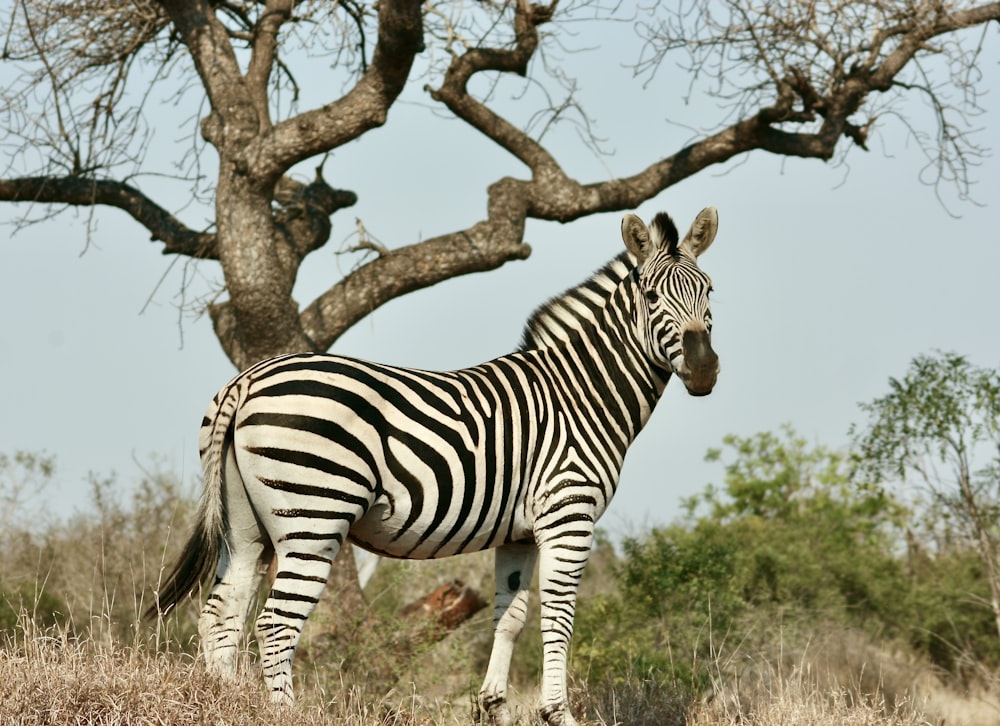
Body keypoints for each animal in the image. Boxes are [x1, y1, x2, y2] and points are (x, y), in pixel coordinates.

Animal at [150, 206, 720, 726]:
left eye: (710, 292)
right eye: (652, 298)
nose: (703, 370)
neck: (580, 393)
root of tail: (247, 379)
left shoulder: (520, 532)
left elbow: (509, 616)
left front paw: (495, 708)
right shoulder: (569, 515)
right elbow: (557, 618)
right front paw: (557, 714)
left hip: (246, 527)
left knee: (221, 612)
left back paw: (227, 704)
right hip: (313, 518)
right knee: (275, 623)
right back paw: (285, 714)